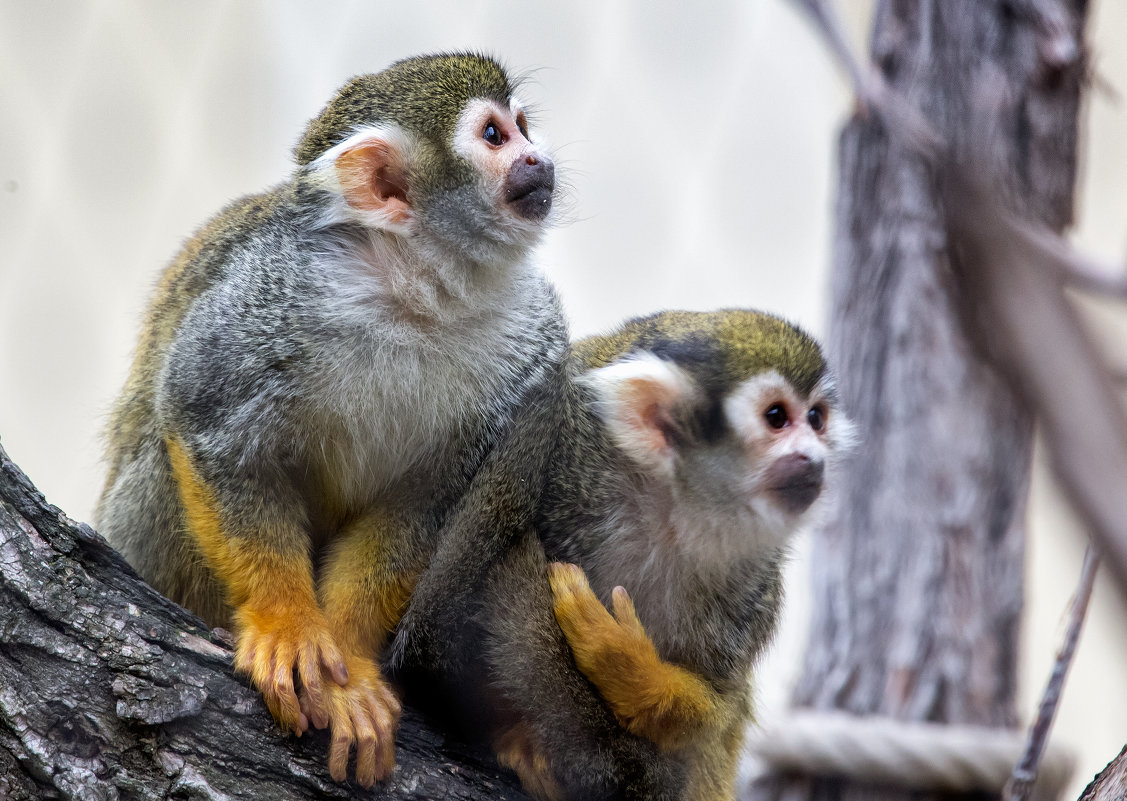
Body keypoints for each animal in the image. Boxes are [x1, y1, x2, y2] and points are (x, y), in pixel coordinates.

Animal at [99, 51, 563, 788]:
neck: (412, 293)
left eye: (522, 125)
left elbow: (425, 501)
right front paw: (287, 627)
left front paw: (350, 665)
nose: (539, 159)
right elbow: (207, 422)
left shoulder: (522, 344)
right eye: (495, 137)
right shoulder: (273, 293)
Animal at [401, 308, 847, 801]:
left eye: (816, 418)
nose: (813, 458)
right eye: (776, 417)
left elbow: (716, 710)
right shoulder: (569, 462)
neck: (672, 510)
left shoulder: (755, 582)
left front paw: (627, 666)